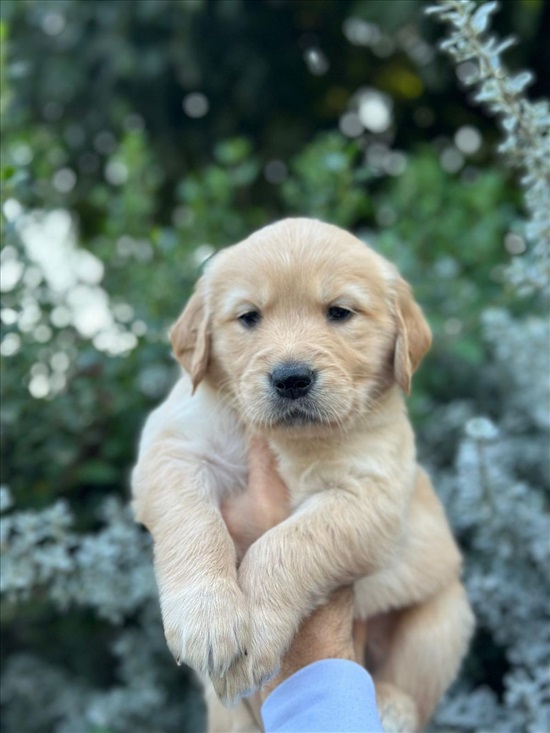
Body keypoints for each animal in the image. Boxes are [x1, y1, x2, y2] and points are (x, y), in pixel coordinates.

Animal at [132, 219, 476, 732]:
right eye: (249, 317)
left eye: (339, 312)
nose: (291, 378)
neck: (290, 440)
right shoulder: (174, 448)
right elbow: (194, 523)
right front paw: (206, 616)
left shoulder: (370, 498)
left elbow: (285, 546)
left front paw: (254, 632)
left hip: (443, 614)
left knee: (411, 685)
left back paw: (391, 707)